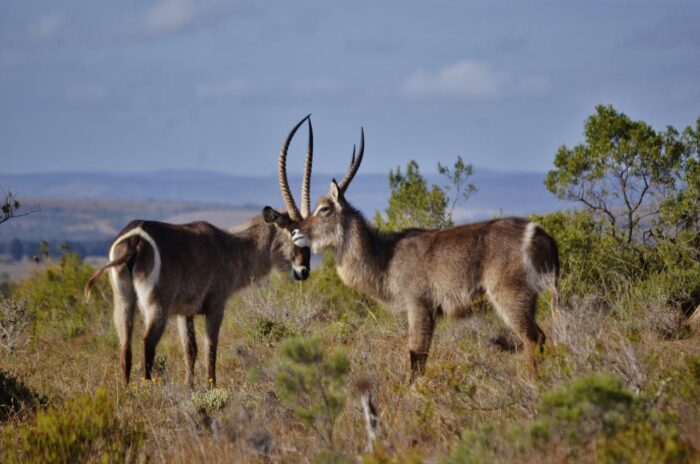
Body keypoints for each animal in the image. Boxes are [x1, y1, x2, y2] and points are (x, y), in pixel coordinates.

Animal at [84, 116, 314, 388]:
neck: (228, 245)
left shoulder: (185, 312)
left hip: (123, 300)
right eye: (294, 232)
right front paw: (211, 387)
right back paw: (147, 388)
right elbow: (210, 349)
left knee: (125, 347)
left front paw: (189, 387)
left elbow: (190, 350)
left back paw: (127, 390)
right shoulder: (215, 306)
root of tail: (135, 240)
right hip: (156, 306)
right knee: (146, 345)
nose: (304, 271)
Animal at [292, 128, 560, 380]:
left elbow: (417, 357)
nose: (295, 233)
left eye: (324, 209)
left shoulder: (419, 305)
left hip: (511, 295)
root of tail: (538, 232)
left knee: (533, 338)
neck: (386, 256)